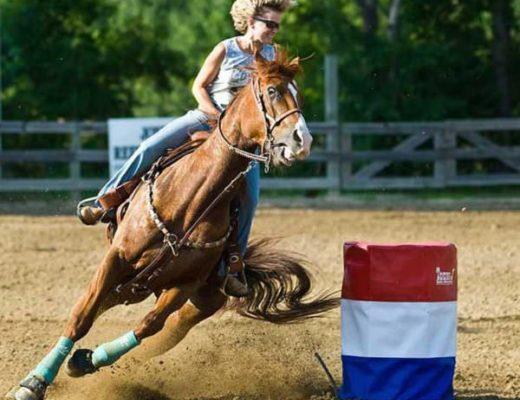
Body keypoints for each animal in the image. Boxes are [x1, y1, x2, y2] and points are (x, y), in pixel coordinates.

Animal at [11, 50, 342, 400]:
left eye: (299, 95)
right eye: (273, 91)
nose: (302, 141)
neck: (187, 199)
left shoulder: (184, 286)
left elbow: (149, 326)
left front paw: (87, 360)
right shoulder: (116, 259)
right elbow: (81, 316)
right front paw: (34, 382)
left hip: (197, 300)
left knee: (162, 337)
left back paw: (90, 362)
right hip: (130, 284)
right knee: (103, 309)